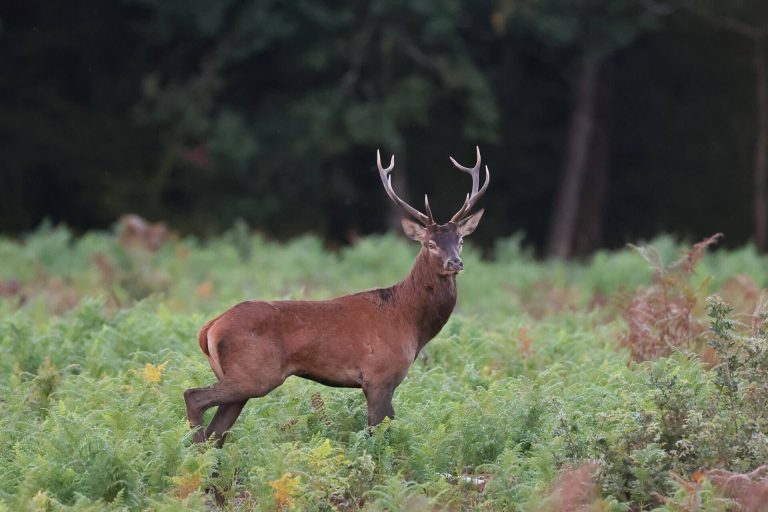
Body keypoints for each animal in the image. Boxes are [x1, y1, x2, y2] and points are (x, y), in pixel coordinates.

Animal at [184, 147, 490, 449]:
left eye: (461, 240)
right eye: (430, 244)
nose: (455, 262)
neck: (410, 323)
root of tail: (209, 328)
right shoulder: (379, 376)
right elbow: (377, 436)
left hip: (240, 378)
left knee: (217, 432)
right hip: (253, 374)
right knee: (193, 397)